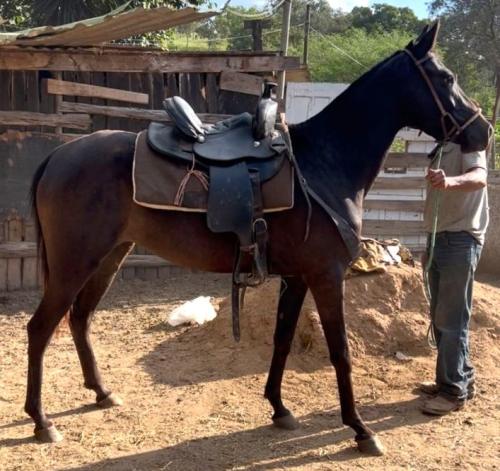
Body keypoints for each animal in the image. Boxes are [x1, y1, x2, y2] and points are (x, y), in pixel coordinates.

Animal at [25, 23, 490, 458]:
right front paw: (360, 430)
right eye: (446, 78)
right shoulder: (326, 276)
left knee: (80, 319)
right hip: (75, 263)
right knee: (41, 327)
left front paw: (279, 409)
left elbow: (282, 339)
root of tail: (58, 155)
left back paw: (101, 393)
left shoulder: (297, 277)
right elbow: (340, 351)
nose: (483, 130)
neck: (323, 164)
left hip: (109, 257)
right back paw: (41, 421)